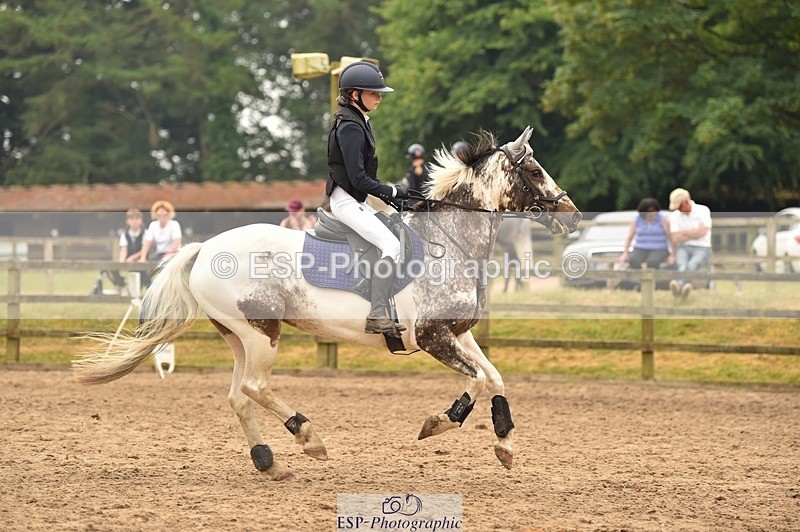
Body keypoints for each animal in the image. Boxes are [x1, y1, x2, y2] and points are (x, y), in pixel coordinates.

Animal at [73, 127, 581, 480]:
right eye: (534, 171)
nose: (572, 216)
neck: (450, 242)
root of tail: (205, 247)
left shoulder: (458, 333)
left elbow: (494, 376)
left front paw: (506, 445)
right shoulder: (434, 337)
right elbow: (476, 381)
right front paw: (438, 423)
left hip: (239, 337)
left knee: (240, 396)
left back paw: (269, 462)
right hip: (262, 333)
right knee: (255, 388)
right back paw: (308, 438)